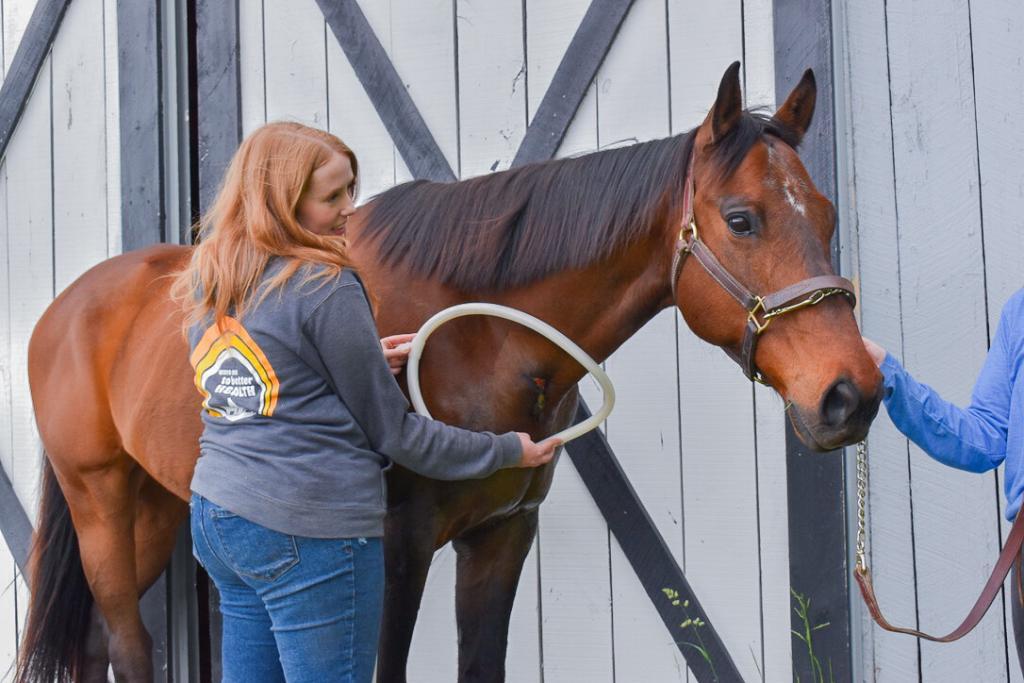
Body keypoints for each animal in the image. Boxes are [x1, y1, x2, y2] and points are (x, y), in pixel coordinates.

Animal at [16, 62, 882, 682]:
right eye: (741, 220)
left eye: (830, 214)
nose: (854, 394)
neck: (483, 335)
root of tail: (66, 308)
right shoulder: (398, 547)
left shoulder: (500, 537)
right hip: (100, 506)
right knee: (128, 646)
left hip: (157, 509)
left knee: (95, 644)